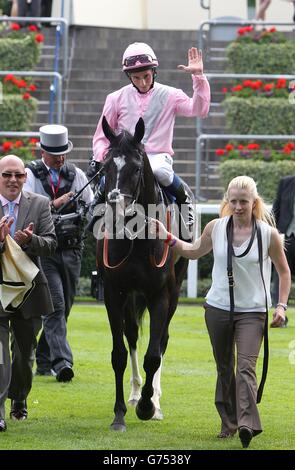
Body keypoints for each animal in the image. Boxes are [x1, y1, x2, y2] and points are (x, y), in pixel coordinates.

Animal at [97, 115, 190, 432]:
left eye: (137, 168)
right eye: (105, 167)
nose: (115, 207)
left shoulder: (160, 294)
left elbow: (153, 356)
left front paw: (149, 407)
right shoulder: (115, 292)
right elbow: (119, 354)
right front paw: (120, 413)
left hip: (175, 291)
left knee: (161, 342)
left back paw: (154, 401)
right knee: (133, 335)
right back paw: (137, 393)